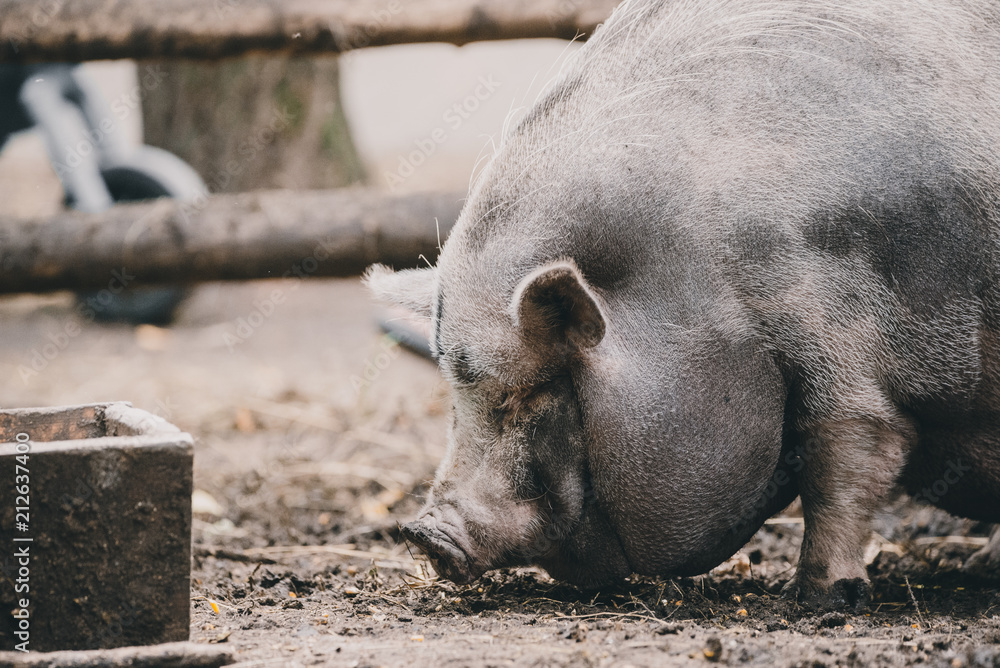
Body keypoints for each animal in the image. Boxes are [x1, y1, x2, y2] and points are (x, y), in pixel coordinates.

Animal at [366, 0, 1000, 610]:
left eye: (530, 391)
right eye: (456, 394)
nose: (423, 534)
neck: (704, 276)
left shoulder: (840, 341)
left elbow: (847, 457)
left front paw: (821, 600)